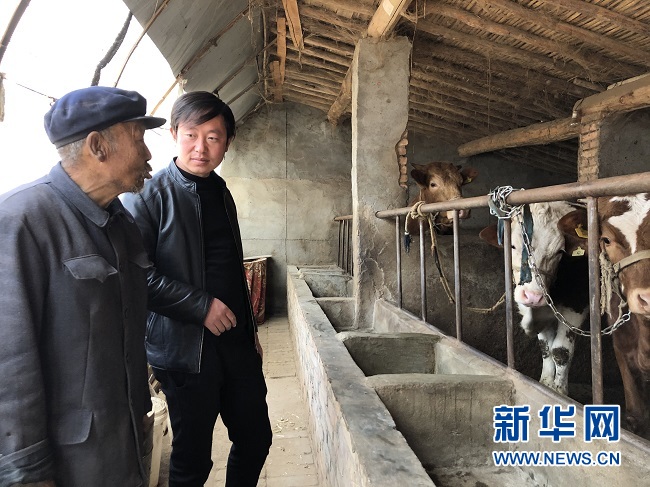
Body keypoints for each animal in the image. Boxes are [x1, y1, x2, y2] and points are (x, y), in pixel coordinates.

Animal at [480, 201, 589, 396]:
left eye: (559, 252)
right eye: (512, 246)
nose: (532, 296)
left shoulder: (576, 303)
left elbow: (561, 350)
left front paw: (559, 391)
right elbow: (545, 347)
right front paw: (545, 383)